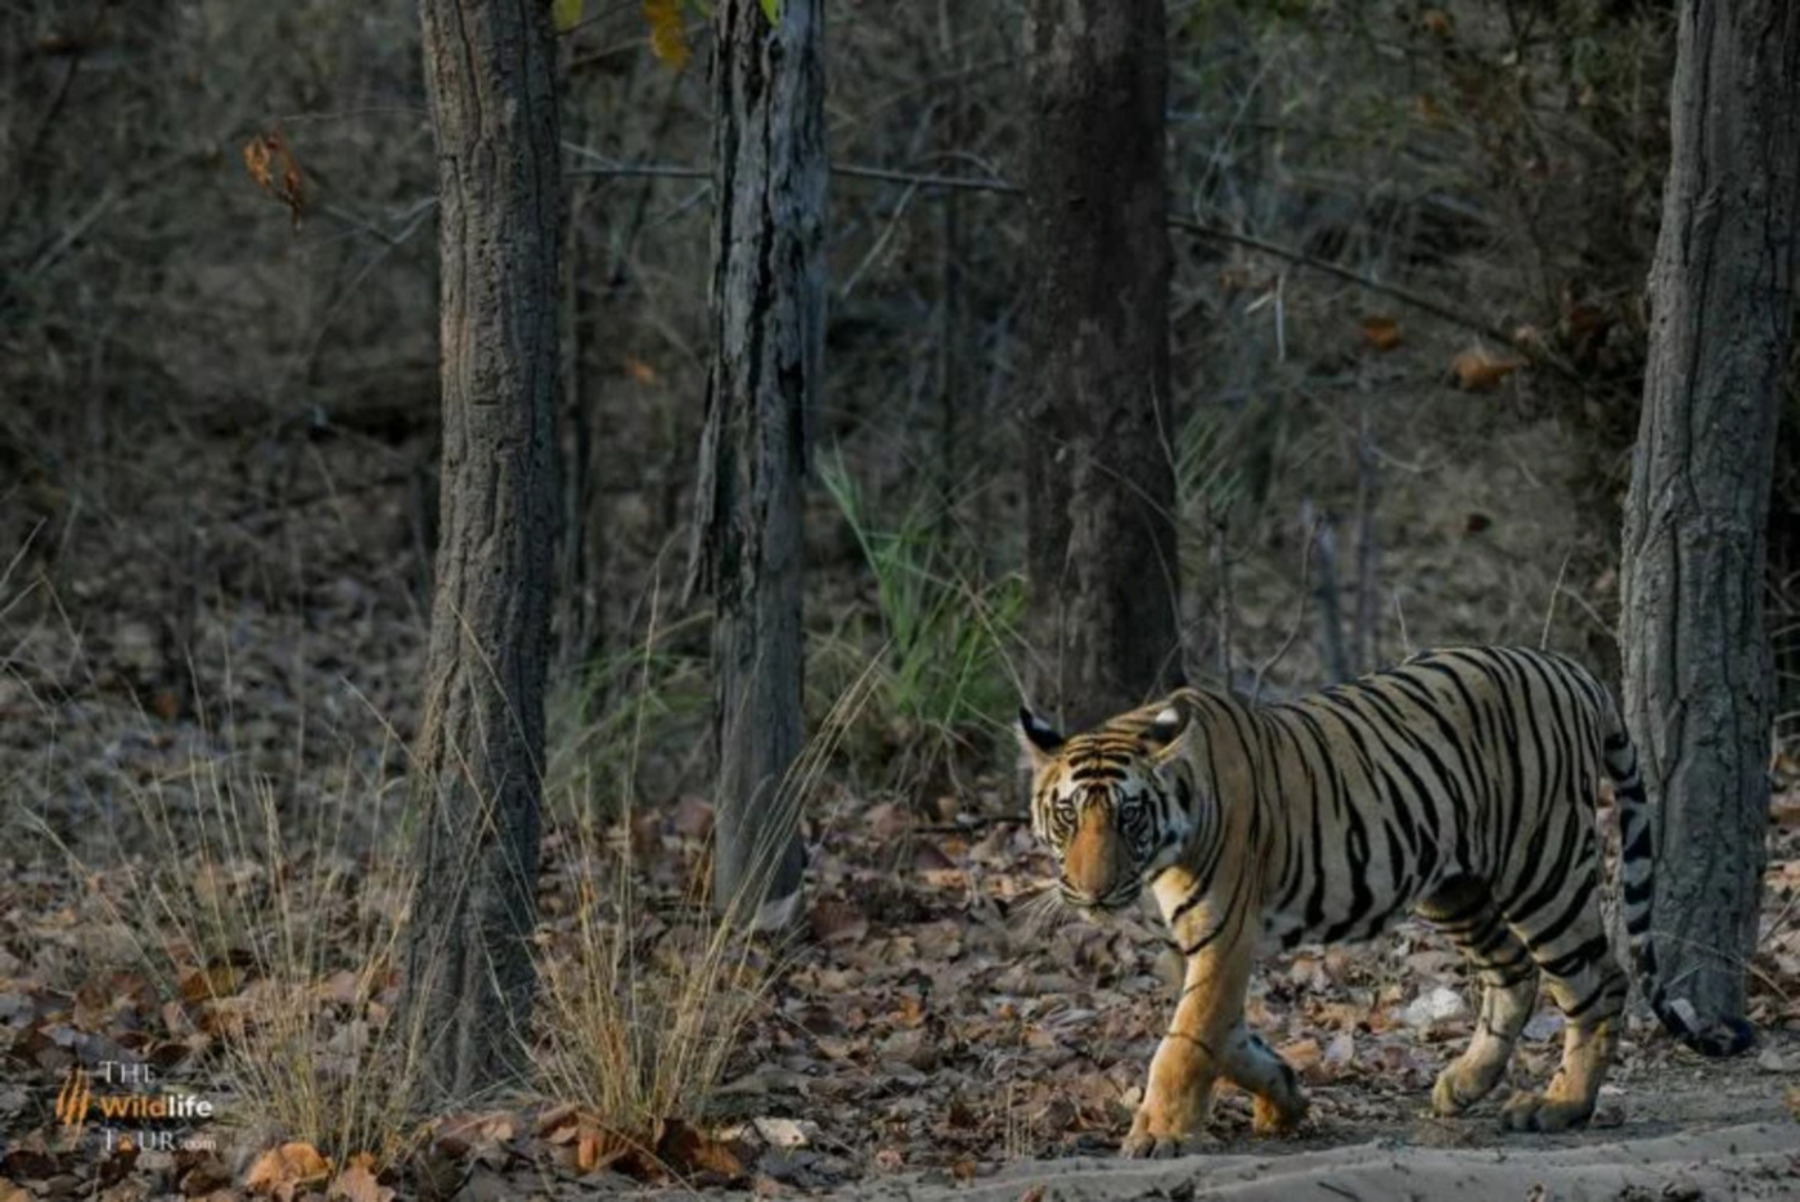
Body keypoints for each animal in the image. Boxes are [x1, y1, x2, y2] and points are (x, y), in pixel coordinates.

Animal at [1022, 644, 1749, 1158]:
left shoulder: (1223, 934)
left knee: (1598, 982)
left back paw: (1560, 1104)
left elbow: (1185, 1042)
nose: (1090, 891)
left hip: (1541, 869)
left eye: (1128, 816)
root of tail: (1573, 671)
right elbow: (1222, 1034)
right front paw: (1284, 1098)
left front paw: (1157, 1134)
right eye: (1068, 816)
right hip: (1455, 886)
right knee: (1512, 971)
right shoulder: (1196, 946)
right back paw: (1463, 1084)